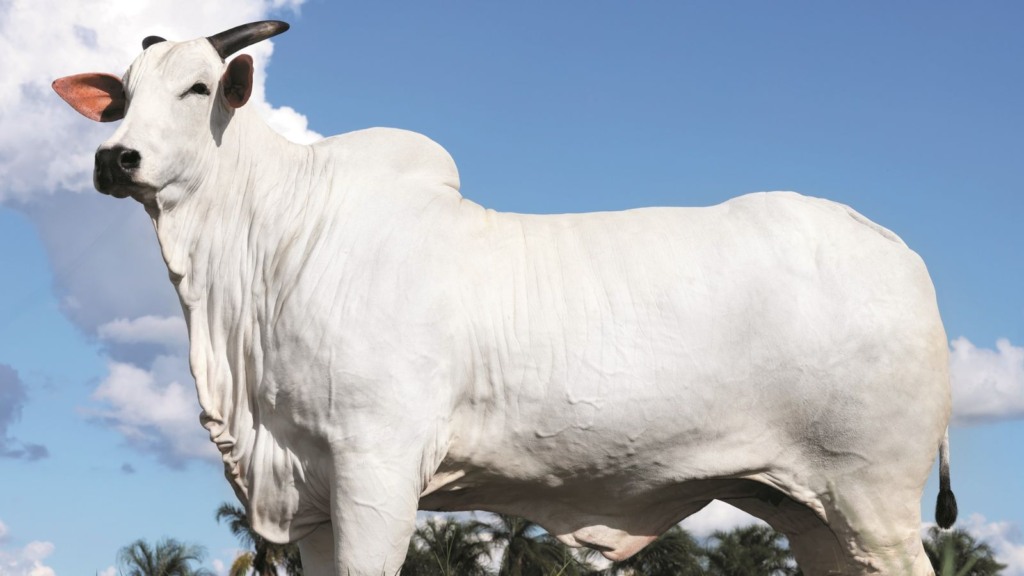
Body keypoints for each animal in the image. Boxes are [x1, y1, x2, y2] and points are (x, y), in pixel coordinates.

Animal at [56, 21, 954, 573]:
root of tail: (896, 250)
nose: (115, 159)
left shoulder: (377, 467)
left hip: (875, 497)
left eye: (198, 89)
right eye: (122, 95)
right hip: (810, 510)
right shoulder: (309, 496)